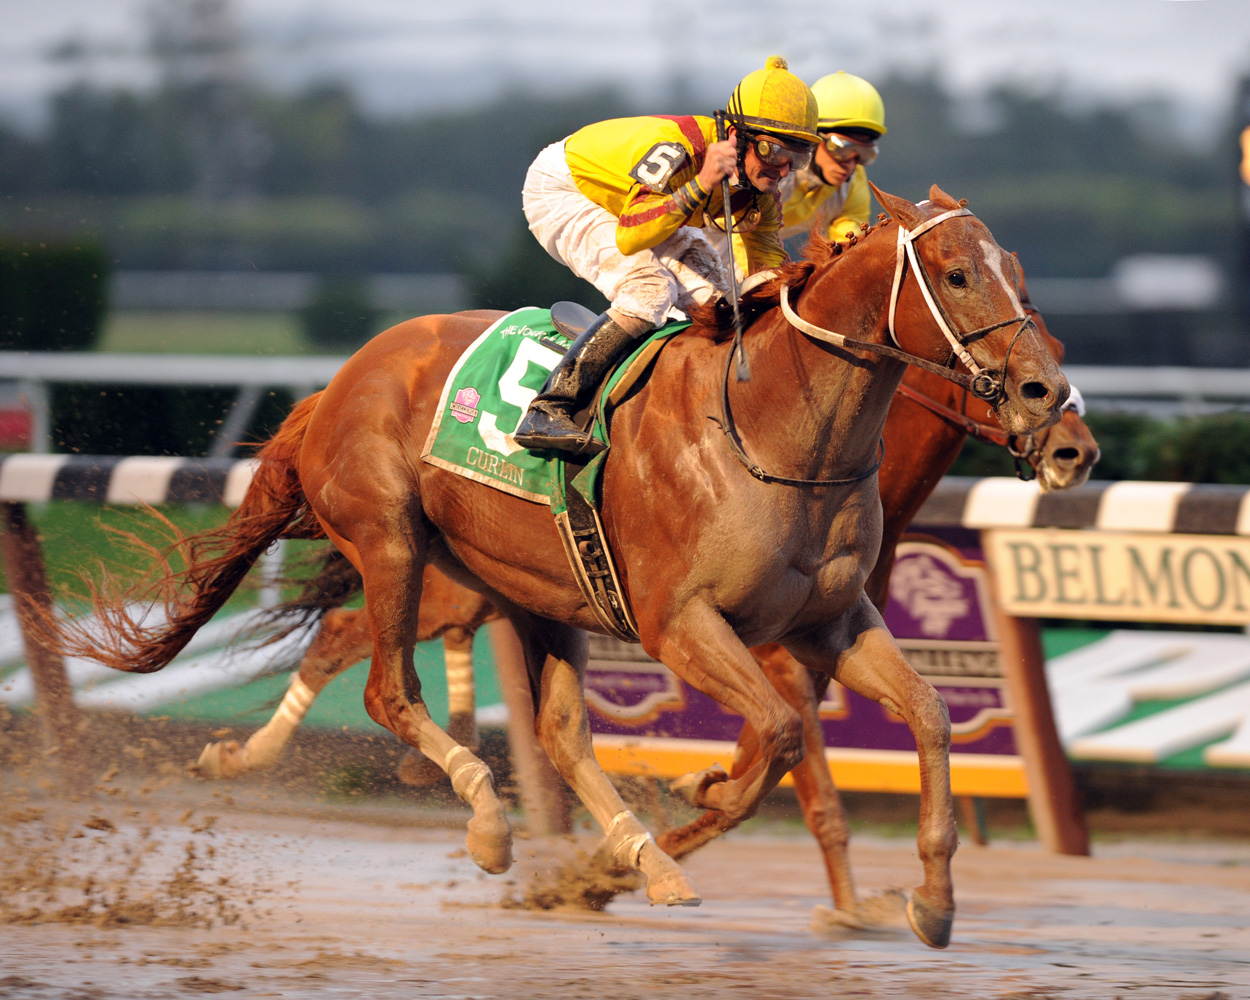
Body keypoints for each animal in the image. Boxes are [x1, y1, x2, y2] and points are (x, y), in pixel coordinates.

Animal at [60, 185, 1065, 945]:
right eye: (957, 273)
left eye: (1019, 272)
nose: (1047, 399)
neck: (777, 428)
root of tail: (351, 371)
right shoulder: (682, 623)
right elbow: (780, 735)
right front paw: (703, 785)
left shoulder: (829, 622)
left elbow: (929, 714)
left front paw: (932, 899)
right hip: (394, 543)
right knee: (389, 687)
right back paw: (488, 823)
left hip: (538, 590)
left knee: (557, 732)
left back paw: (639, 860)